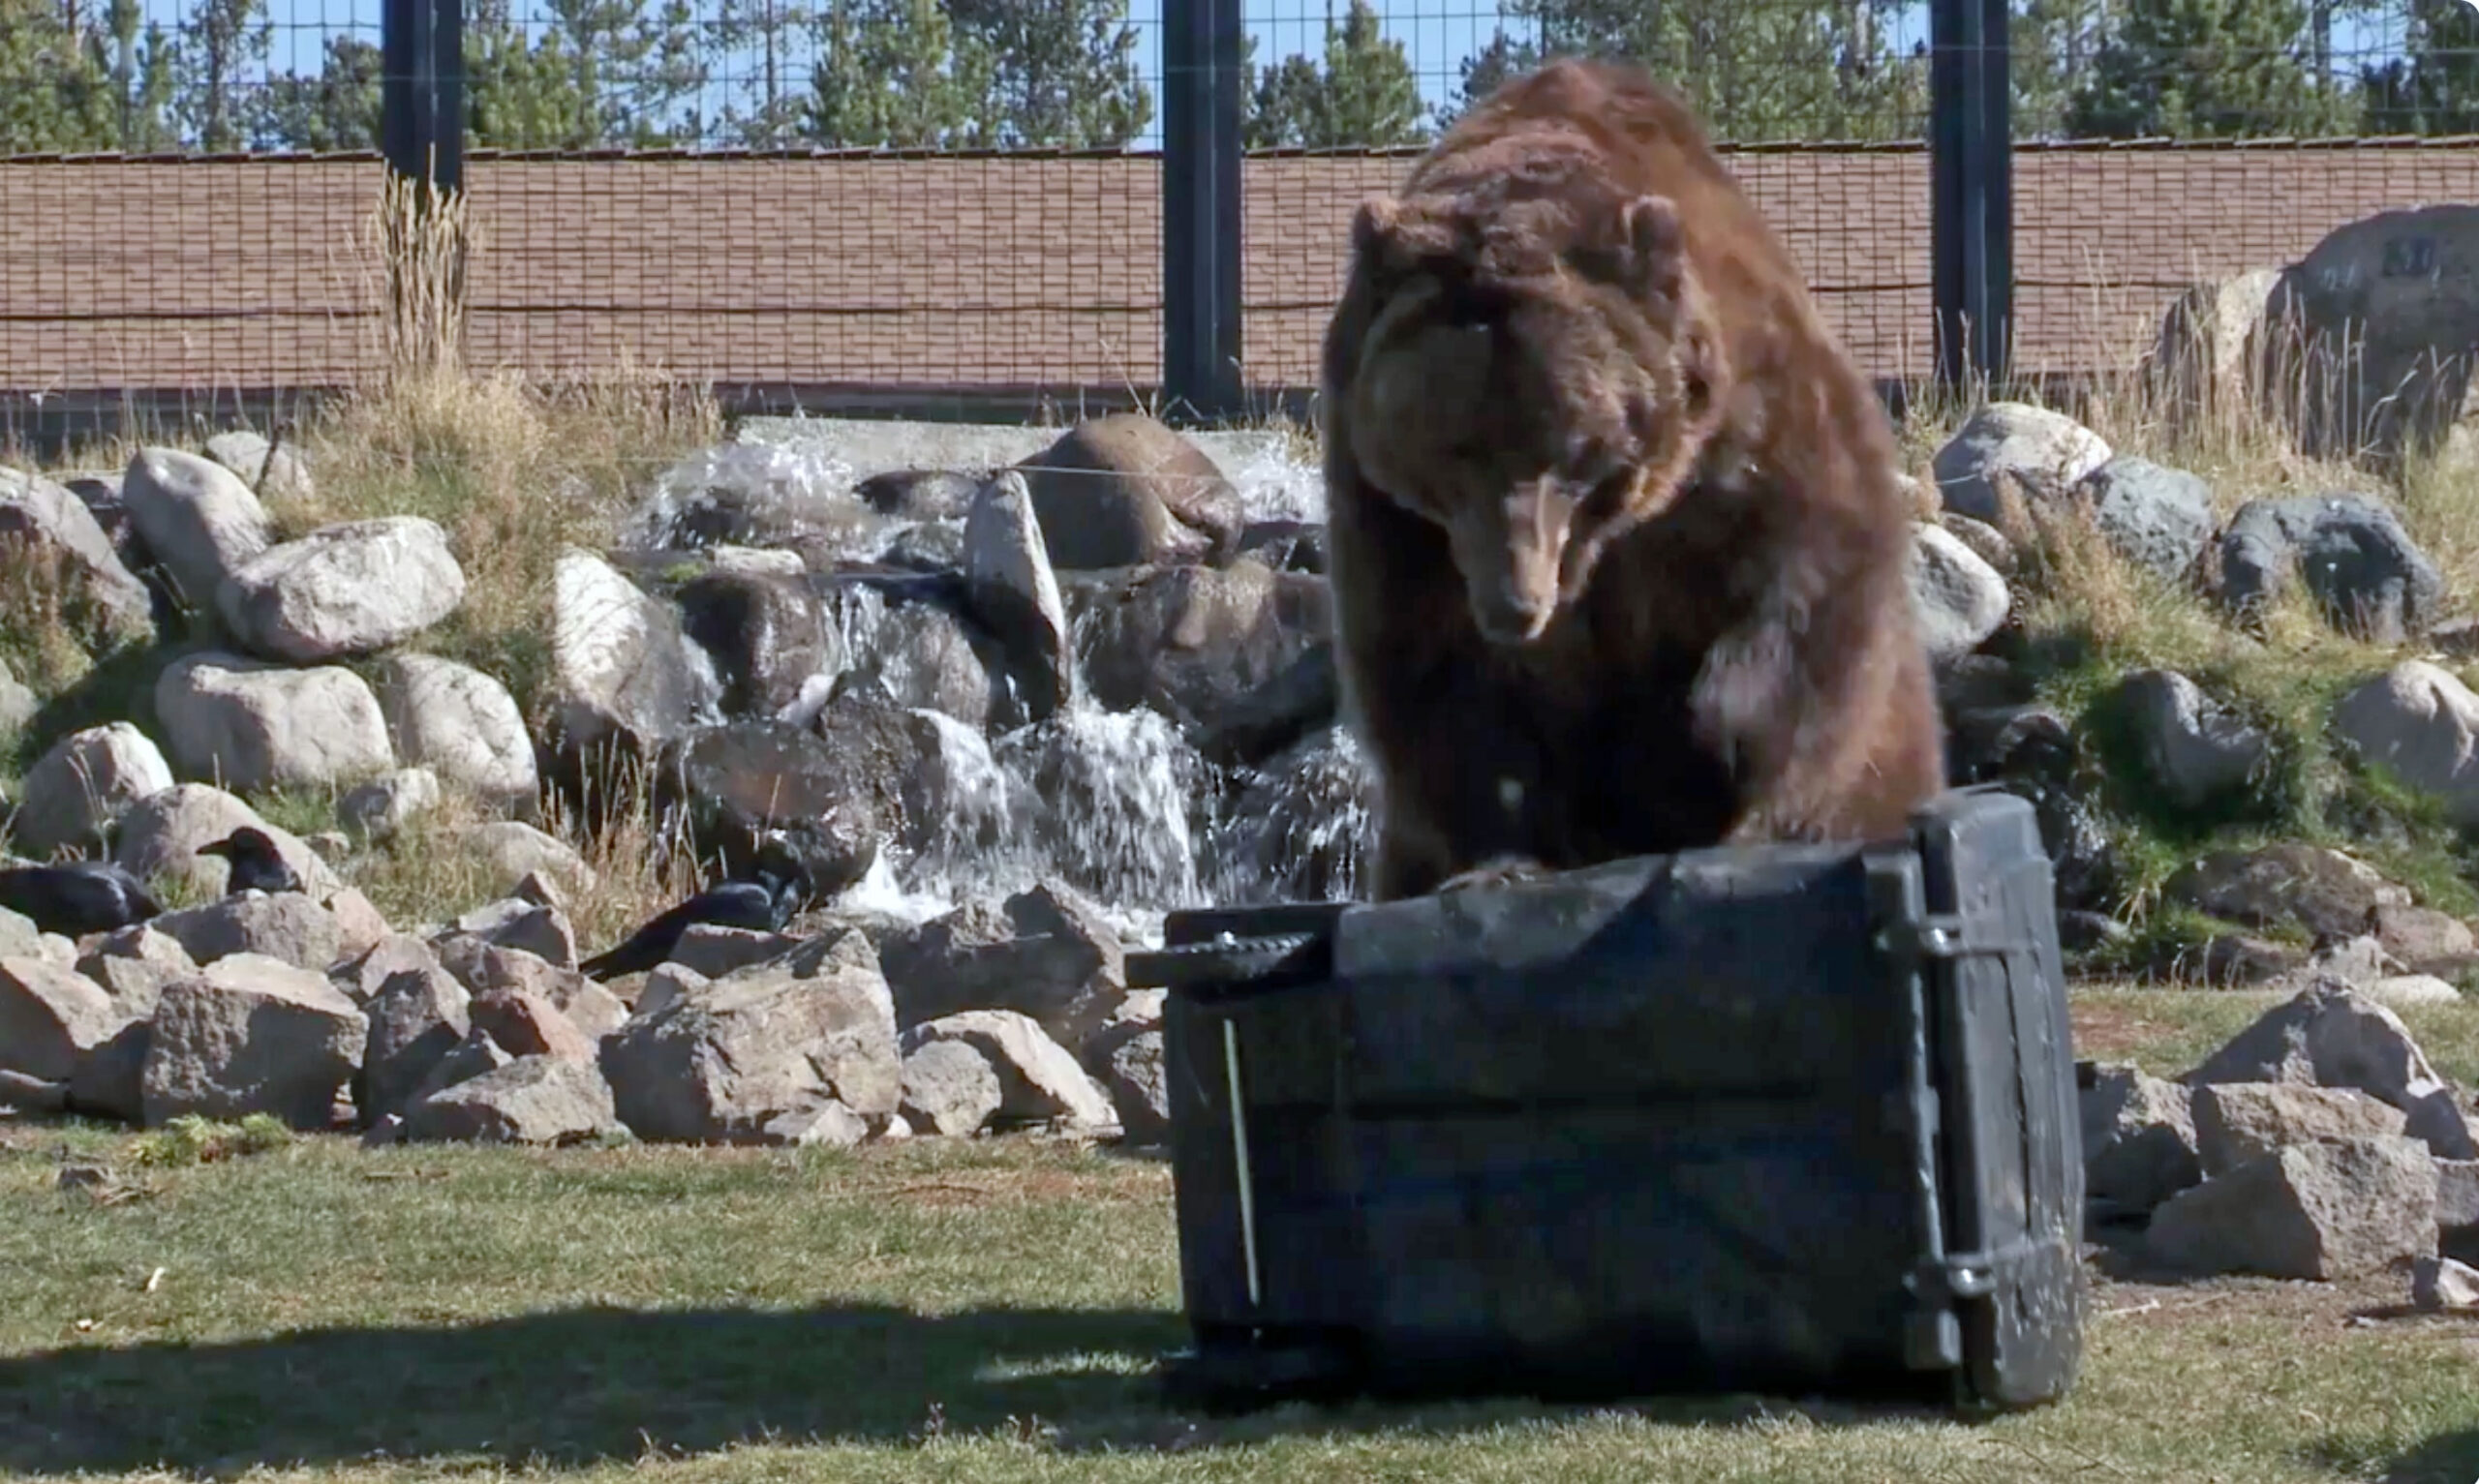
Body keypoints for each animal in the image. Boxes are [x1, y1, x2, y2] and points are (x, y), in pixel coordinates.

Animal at [1318, 56, 1947, 903]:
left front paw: (1718, 749)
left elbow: (1810, 585)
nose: (1515, 605)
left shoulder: (1739, 441)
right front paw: (1502, 855)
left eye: (1568, 449)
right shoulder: (1395, 520)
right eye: (1451, 454)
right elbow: (1433, 678)